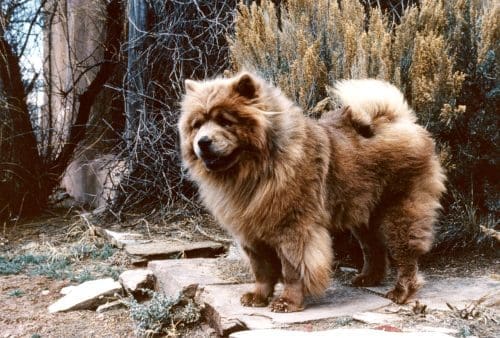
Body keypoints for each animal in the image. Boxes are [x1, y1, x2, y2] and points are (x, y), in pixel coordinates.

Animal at [179, 72, 446, 312]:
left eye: (226, 122)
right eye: (197, 125)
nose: (203, 141)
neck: (255, 171)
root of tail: (395, 119)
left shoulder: (292, 230)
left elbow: (292, 270)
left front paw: (287, 303)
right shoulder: (251, 232)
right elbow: (262, 270)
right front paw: (258, 297)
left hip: (398, 211)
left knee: (405, 254)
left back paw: (401, 291)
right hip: (362, 214)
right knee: (373, 249)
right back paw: (368, 278)